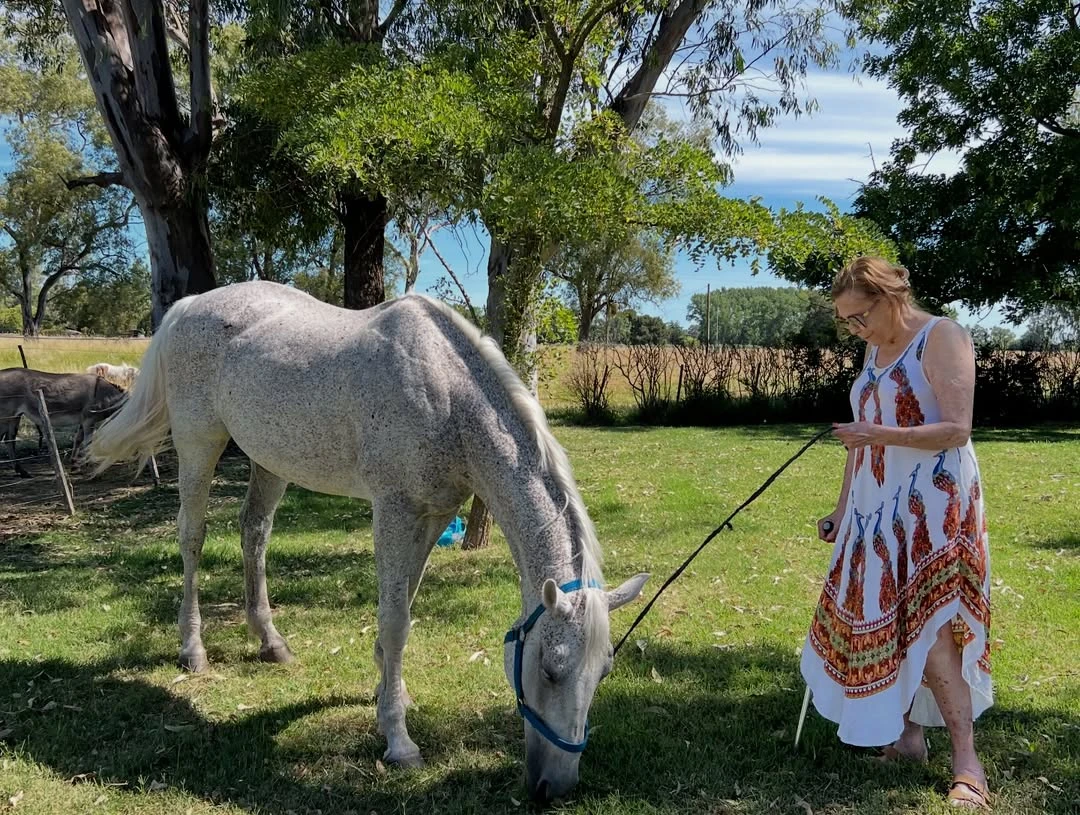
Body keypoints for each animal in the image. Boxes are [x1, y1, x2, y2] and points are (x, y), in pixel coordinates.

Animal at [88, 281, 648, 802]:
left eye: (603, 673)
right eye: (551, 671)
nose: (556, 786)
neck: (448, 398)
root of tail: (188, 306)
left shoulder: (432, 513)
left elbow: (405, 605)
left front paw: (389, 698)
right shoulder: (393, 510)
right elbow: (396, 622)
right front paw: (399, 741)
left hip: (269, 460)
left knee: (254, 531)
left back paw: (271, 641)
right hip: (198, 442)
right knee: (193, 535)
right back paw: (193, 648)